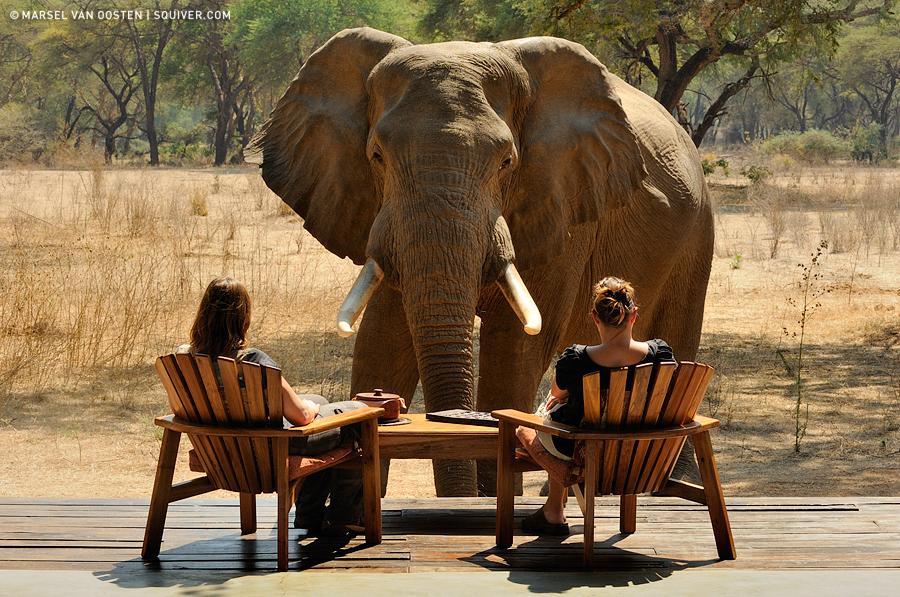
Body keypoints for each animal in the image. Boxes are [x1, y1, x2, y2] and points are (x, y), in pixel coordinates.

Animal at [244, 25, 712, 496]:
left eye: (506, 162)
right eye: (376, 156)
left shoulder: (561, 203)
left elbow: (516, 345)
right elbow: (384, 335)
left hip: (697, 231)